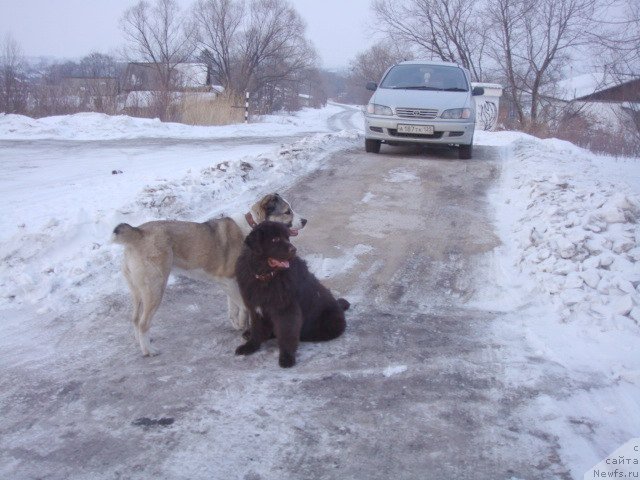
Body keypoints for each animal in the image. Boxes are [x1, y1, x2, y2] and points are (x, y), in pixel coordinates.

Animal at [112, 193, 308, 354]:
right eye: (287, 212)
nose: (305, 220)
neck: (254, 230)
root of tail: (138, 233)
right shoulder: (227, 280)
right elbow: (243, 307)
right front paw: (245, 327)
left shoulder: (231, 282)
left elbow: (233, 307)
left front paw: (237, 325)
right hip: (155, 289)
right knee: (143, 322)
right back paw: (148, 351)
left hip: (138, 291)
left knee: (135, 319)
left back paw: (141, 343)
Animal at [234, 221, 348, 368]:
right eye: (275, 239)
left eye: (287, 238)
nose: (294, 250)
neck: (266, 278)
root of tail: (339, 307)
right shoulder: (255, 308)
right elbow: (256, 329)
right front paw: (250, 347)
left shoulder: (286, 310)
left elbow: (286, 333)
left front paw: (286, 357)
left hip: (330, 322)